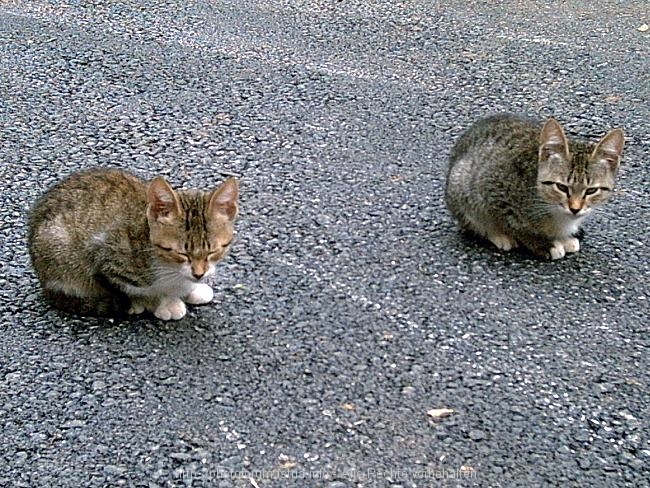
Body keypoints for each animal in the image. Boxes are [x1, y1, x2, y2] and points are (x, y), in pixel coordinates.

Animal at [28, 168, 238, 320]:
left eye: (214, 251)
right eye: (180, 253)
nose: (199, 274)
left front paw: (192, 290)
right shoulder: (104, 255)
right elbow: (129, 288)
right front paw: (161, 303)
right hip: (58, 249)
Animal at [446, 114, 624, 260]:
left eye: (591, 190)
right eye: (561, 187)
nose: (575, 209)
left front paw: (564, 238)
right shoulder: (494, 192)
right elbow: (516, 226)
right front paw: (542, 244)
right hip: (460, 185)